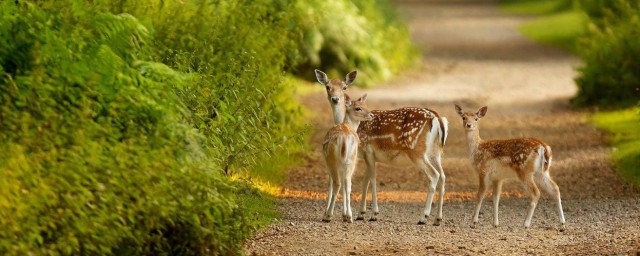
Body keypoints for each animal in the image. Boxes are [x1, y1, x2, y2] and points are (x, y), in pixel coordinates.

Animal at [322, 93, 372, 222]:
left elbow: (329, 186)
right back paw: (349, 217)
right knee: (347, 184)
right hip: (351, 160)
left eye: (366, 105)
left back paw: (328, 215)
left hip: (332, 160)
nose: (371, 114)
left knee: (337, 183)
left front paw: (326, 214)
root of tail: (344, 139)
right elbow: (346, 186)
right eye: (358, 107)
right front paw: (344, 214)